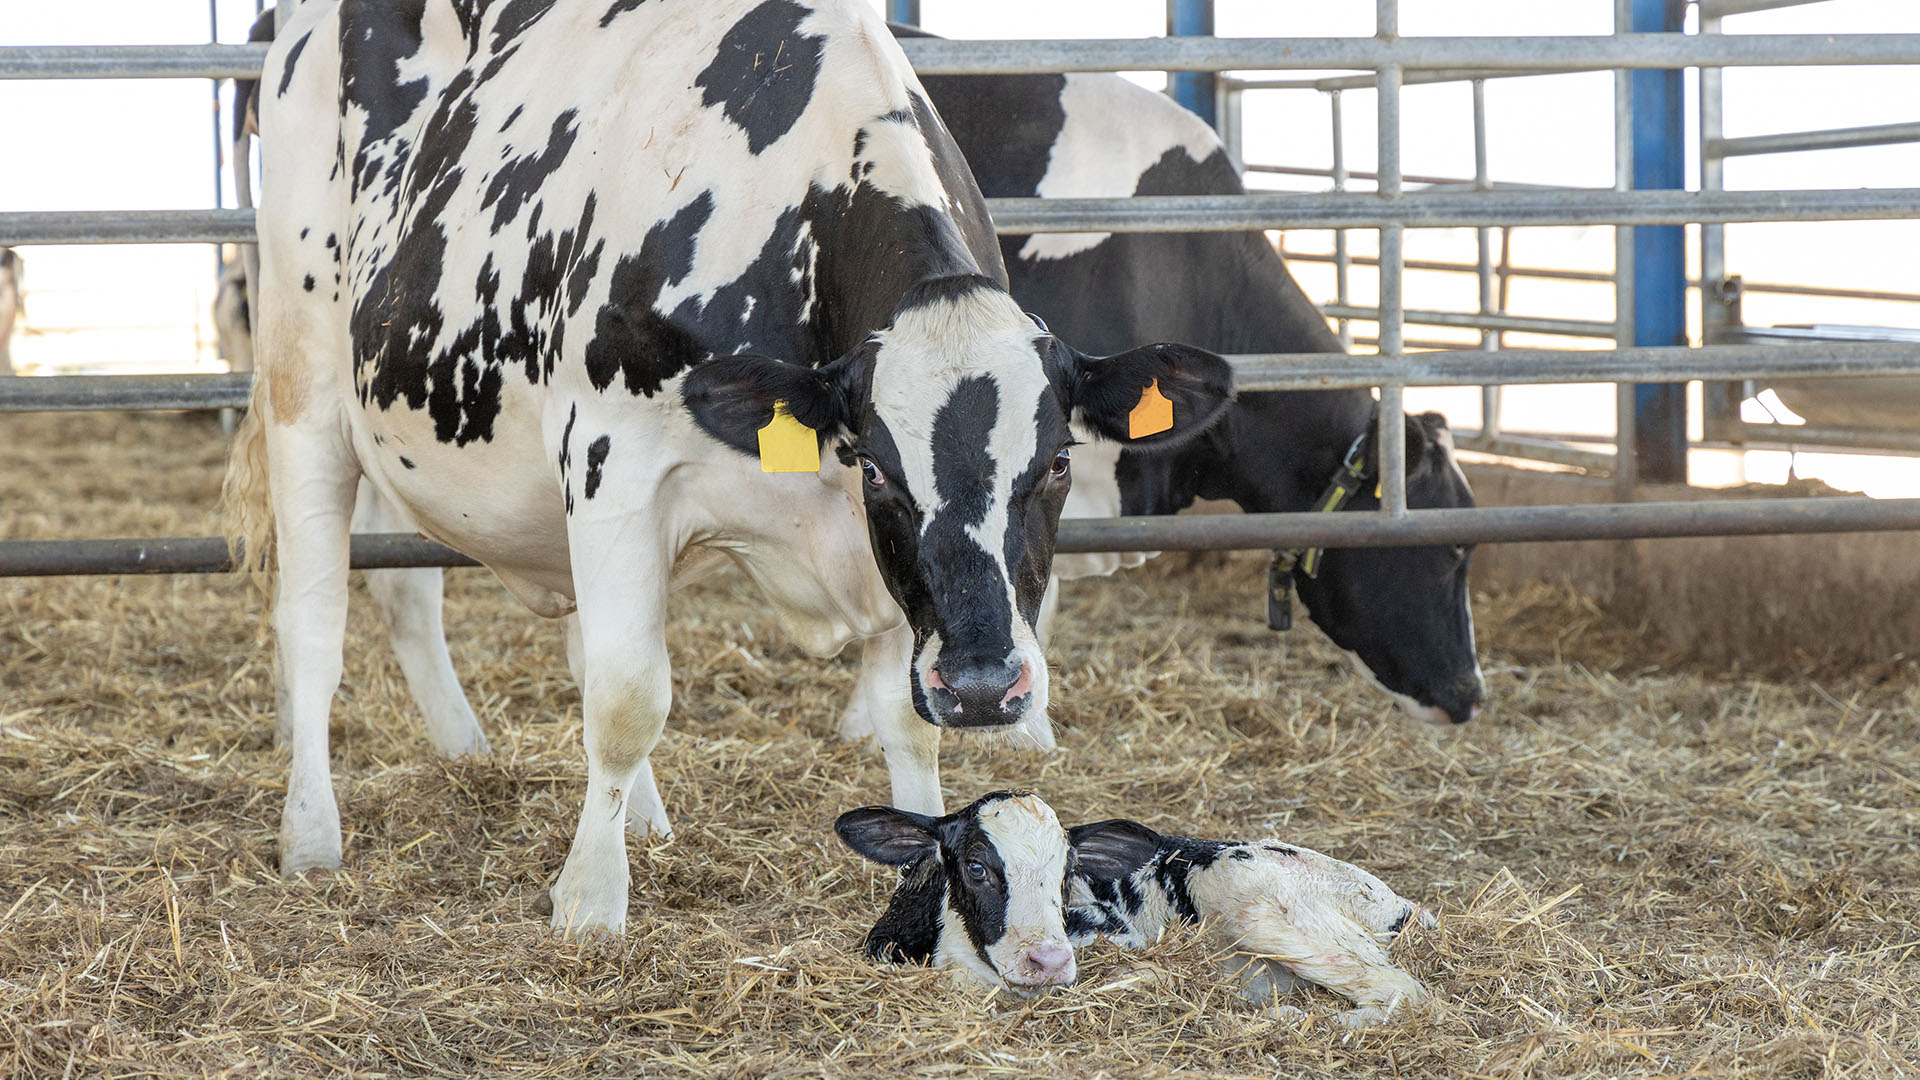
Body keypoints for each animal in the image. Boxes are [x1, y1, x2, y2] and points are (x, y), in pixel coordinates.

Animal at [228, 0, 1228, 933]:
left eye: (1057, 460)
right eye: (879, 470)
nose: (985, 686)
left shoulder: (892, 579)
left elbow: (905, 720)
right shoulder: (614, 466)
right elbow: (629, 698)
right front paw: (591, 900)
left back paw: (635, 817)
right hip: (304, 382)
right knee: (314, 625)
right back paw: (312, 835)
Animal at [833, 787, 1436, 1022]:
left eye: (1066, 875)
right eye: (976, 867)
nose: (1049, 961)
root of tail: (1405, 906)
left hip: (1262, 907)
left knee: (1406, 991)